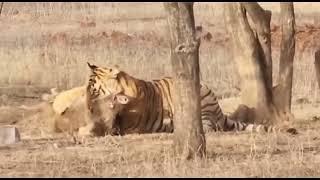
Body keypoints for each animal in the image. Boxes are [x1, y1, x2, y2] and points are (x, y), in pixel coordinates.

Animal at [85, 62, 298, 136]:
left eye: (93, 90)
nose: (87, 107)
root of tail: (220, 111)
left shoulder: (128, 123)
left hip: (200, 102)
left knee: (209, 128)